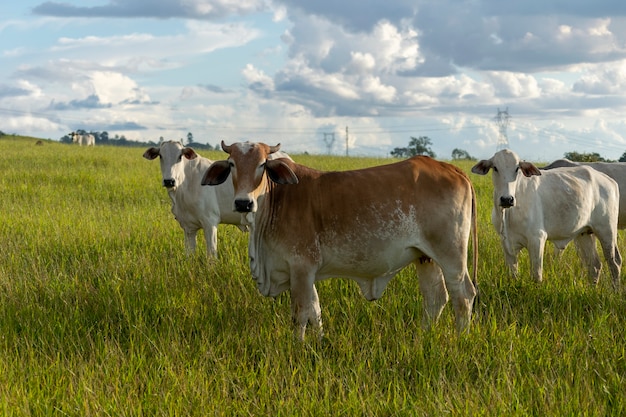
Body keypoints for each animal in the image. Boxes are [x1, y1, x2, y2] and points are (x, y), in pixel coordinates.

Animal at [142, 140, 290, 256]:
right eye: (161, 156)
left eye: (180, 156)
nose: (169, 181)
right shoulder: (188, 227)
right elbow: (189, 256)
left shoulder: (210, 222)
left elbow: (211, 256)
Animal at [202, 141, 476, 340]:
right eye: (232, 164)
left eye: (262, 164)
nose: (243, 203)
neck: (275, 197)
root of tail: (452, 168)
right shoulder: (305, 272)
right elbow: (315, 311)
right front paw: (319, 342)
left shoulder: (301, 268)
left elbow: (301, 313)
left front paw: (298, 346)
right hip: (425, 256)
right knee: (435, 298)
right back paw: (422, 338)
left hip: (451, 254)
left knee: (463, 295)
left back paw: (460, 339)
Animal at [470, 150, 620, 290]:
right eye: (495, 167)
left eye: (517, 168)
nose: (507, 199)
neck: (508, 214)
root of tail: (609, 181)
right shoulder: (507, 243)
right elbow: (513, 275)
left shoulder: (537, 238)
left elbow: (536, 275)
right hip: (584, 234)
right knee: (594, 266)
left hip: (607, 230)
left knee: (614, 262)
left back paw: (615, 291)